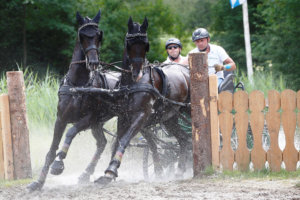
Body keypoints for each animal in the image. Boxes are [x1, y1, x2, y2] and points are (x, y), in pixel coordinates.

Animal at [26, 10, 119, 191]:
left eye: (98, 35)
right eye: (82, 35)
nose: (93, 62)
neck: (77, 86)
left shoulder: (87, 118)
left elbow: (70, 132)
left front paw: (59, 162)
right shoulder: (61, 119)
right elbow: (52, 149)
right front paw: (38, 182)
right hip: (97, 124)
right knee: (102, 143)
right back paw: (86, 174)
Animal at [95, 17, 191, 184]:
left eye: (146, 45)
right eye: (128, 43)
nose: (137, 73)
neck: (132, 84)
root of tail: (186, 70)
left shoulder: (141, 115)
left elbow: (125, 139)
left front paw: (111, 171)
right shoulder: (124, 117)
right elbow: (120, 140)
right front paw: (108, 174)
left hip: (190, 109)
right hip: (170, 118)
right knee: (184, 139)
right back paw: (179, 170)